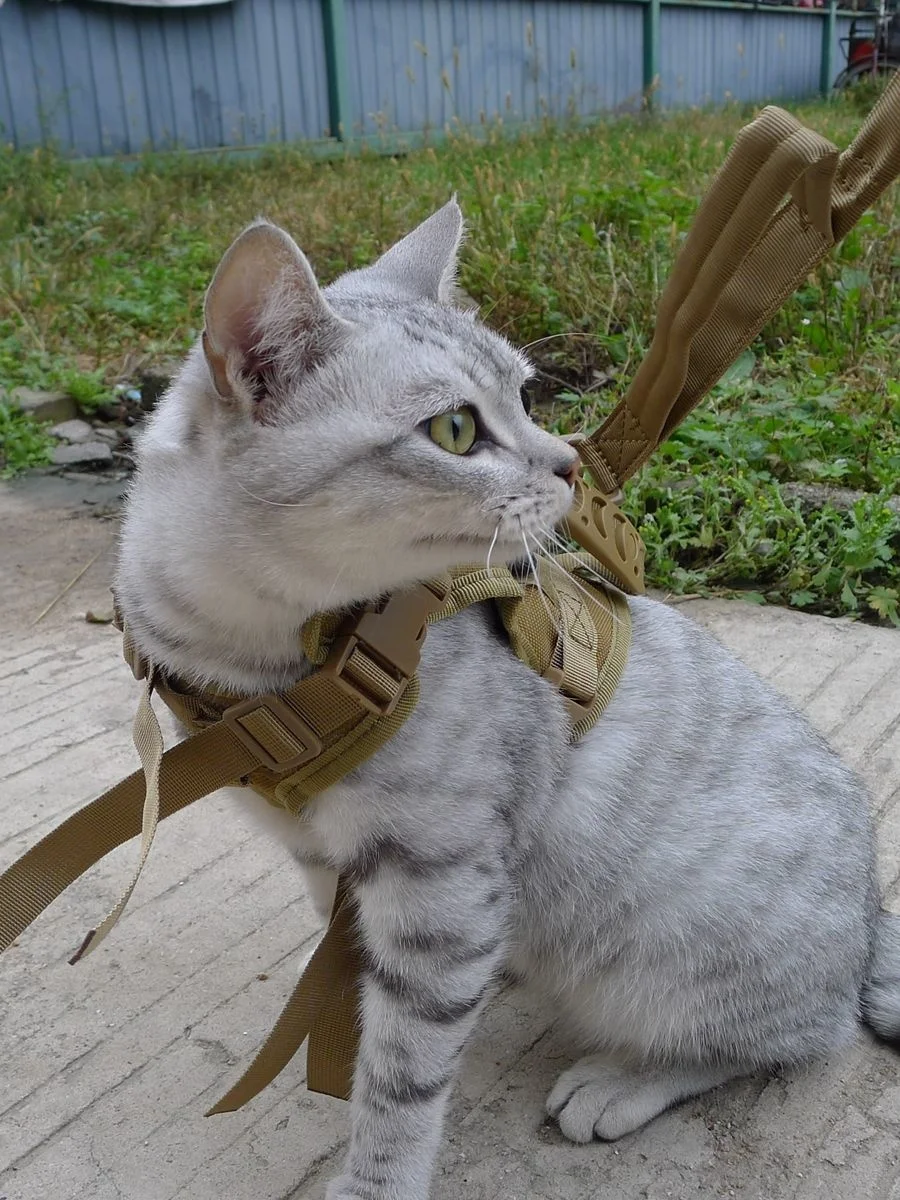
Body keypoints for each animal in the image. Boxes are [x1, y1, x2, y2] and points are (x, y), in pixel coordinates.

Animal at [114, 201, 900, 1195]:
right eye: (456, 429)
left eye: (527, 398)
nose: (568, 465)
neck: (262, 657)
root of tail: (871, 923)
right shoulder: (328, 855)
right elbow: (354, 952)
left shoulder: (440, 879)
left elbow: (403, 1079)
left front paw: (377, 1175)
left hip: (673, 954)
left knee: (782, 1039)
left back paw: (622, 1080)